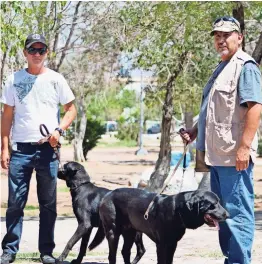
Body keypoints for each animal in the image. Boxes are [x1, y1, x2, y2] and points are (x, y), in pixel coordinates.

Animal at [99, 188, 228, 264]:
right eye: (213, 205)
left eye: (219, 202)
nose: (228, 214)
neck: (177, 210)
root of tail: (108, 194)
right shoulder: (162, 244)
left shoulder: (172, 243)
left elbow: (169, 261)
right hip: (113, 232)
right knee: (112, 255)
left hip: (130, 232)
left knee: (125, 251)